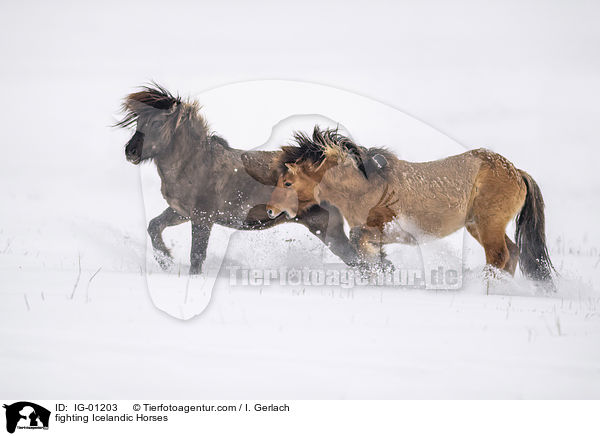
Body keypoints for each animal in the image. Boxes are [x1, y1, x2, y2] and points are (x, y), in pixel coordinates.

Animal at [119, 84, 358, 274]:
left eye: (157, 123)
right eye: (139, 121)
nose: (130, 152)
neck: (194, 164)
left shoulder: (203, 218)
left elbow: (196, 256)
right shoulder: (181, 212)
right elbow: (154, 226)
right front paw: (166, 261)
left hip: (326, 229)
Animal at [264, 126, 556, 286]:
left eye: (287, 182)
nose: (269, 210)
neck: (366, 187)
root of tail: (516, 172)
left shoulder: (393, 229)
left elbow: (359, 240)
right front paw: (380, 270)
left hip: (488, 225)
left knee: (499, 257)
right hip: (478, 226)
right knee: (512, 252)